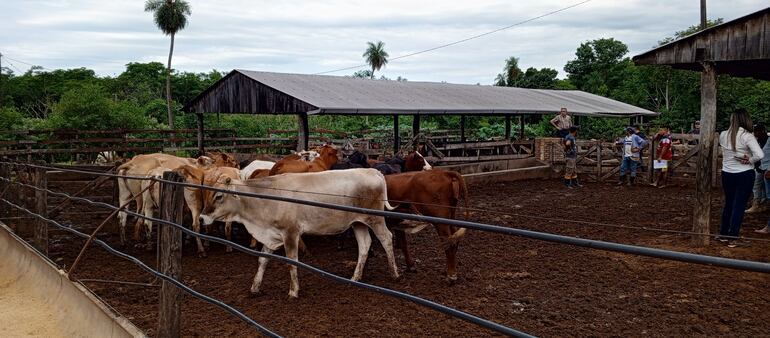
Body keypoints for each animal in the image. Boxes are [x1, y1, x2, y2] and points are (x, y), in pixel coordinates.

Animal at [195, 168, 400, 298]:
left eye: (219, 195)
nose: (202, 218)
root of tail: (372, 171)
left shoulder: (290, 233)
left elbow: (291, 262)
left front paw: (294, 292)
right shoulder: (271, 235)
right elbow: (262, 260)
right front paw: (255, 288)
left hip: (375, 219)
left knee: (387, 238)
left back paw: (394, 273)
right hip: (357, 223)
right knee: (364, 245)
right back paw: (355, 278)